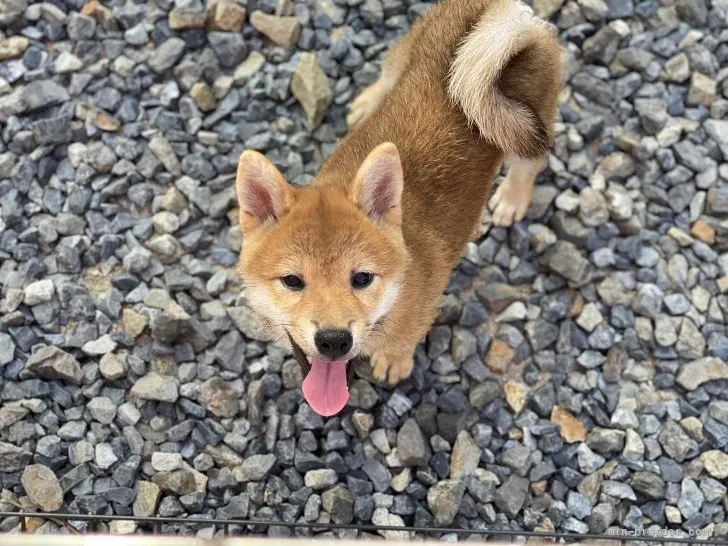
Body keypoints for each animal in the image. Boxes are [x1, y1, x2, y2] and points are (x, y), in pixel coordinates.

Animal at [236, 0, 560, 414]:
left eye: (362, 278)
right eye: (292, 281)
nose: (334, 341)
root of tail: (498, 10)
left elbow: (406, 341)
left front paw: (394, 361)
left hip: (530, 124)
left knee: (528, 165)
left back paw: (511, 200)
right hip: (402, 57)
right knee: (387, 77)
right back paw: (367, 102)